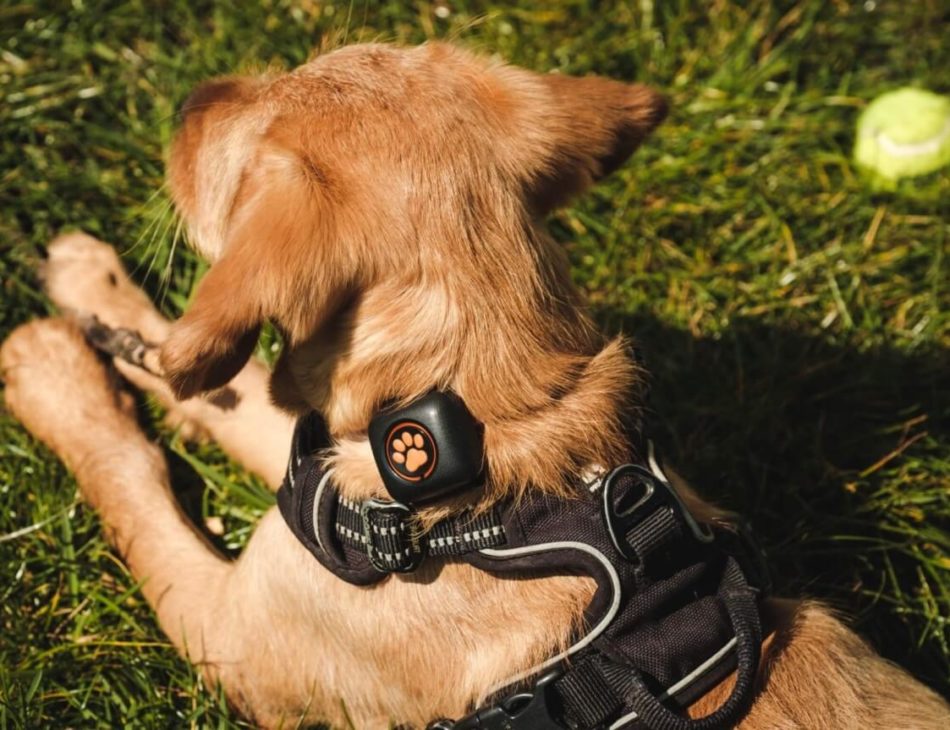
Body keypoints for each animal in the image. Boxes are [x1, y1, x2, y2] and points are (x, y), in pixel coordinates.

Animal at [1, 41, 950, 728]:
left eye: (226, 158)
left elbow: (134, 483)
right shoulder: (322, 466)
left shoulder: (234, 633)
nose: (193, 95)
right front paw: (97, 293)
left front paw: (54, 378)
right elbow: (223, 391)